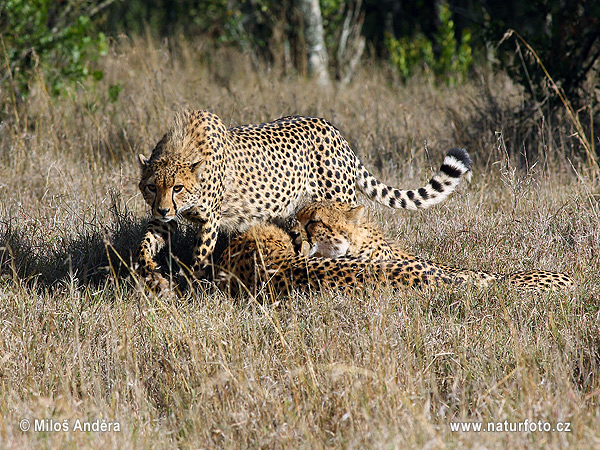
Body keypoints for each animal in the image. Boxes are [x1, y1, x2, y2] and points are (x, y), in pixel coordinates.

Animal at [137, 108, 474, 288]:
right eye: (152, 187)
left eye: (178, 187)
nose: (164, 207)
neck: (183, 150)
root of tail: (333, 129)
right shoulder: (164, 220)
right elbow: (145, 245)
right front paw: (153, 277)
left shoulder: (210, 220)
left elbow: (199, 259)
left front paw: (192, 292)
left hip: (337, 199)